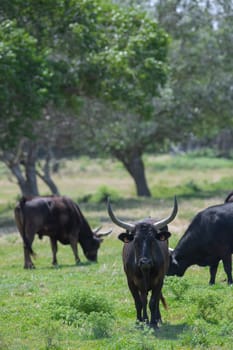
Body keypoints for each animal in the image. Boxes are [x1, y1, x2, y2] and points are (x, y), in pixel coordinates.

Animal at [107, 197, 178, 328]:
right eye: (135, 241)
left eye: (153, 240)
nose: (145, 262)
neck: (145, 271)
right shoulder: (131, 282)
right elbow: (139, 302)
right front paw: (140, 320)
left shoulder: (159, 281)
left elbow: (153, 301)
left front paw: (153, 322)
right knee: (143, 298)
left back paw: (157, 318)